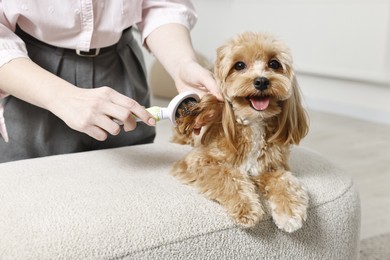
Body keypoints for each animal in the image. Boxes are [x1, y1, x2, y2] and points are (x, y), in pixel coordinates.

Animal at [172, 31, 310, 233]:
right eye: (239, 65)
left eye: (274, 63)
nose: (261, 81)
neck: (253, 124)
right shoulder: (197, 162)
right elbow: (229, 176)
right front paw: (247, 208)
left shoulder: (271, 167)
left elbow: (285, 181)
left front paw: (290, 211)